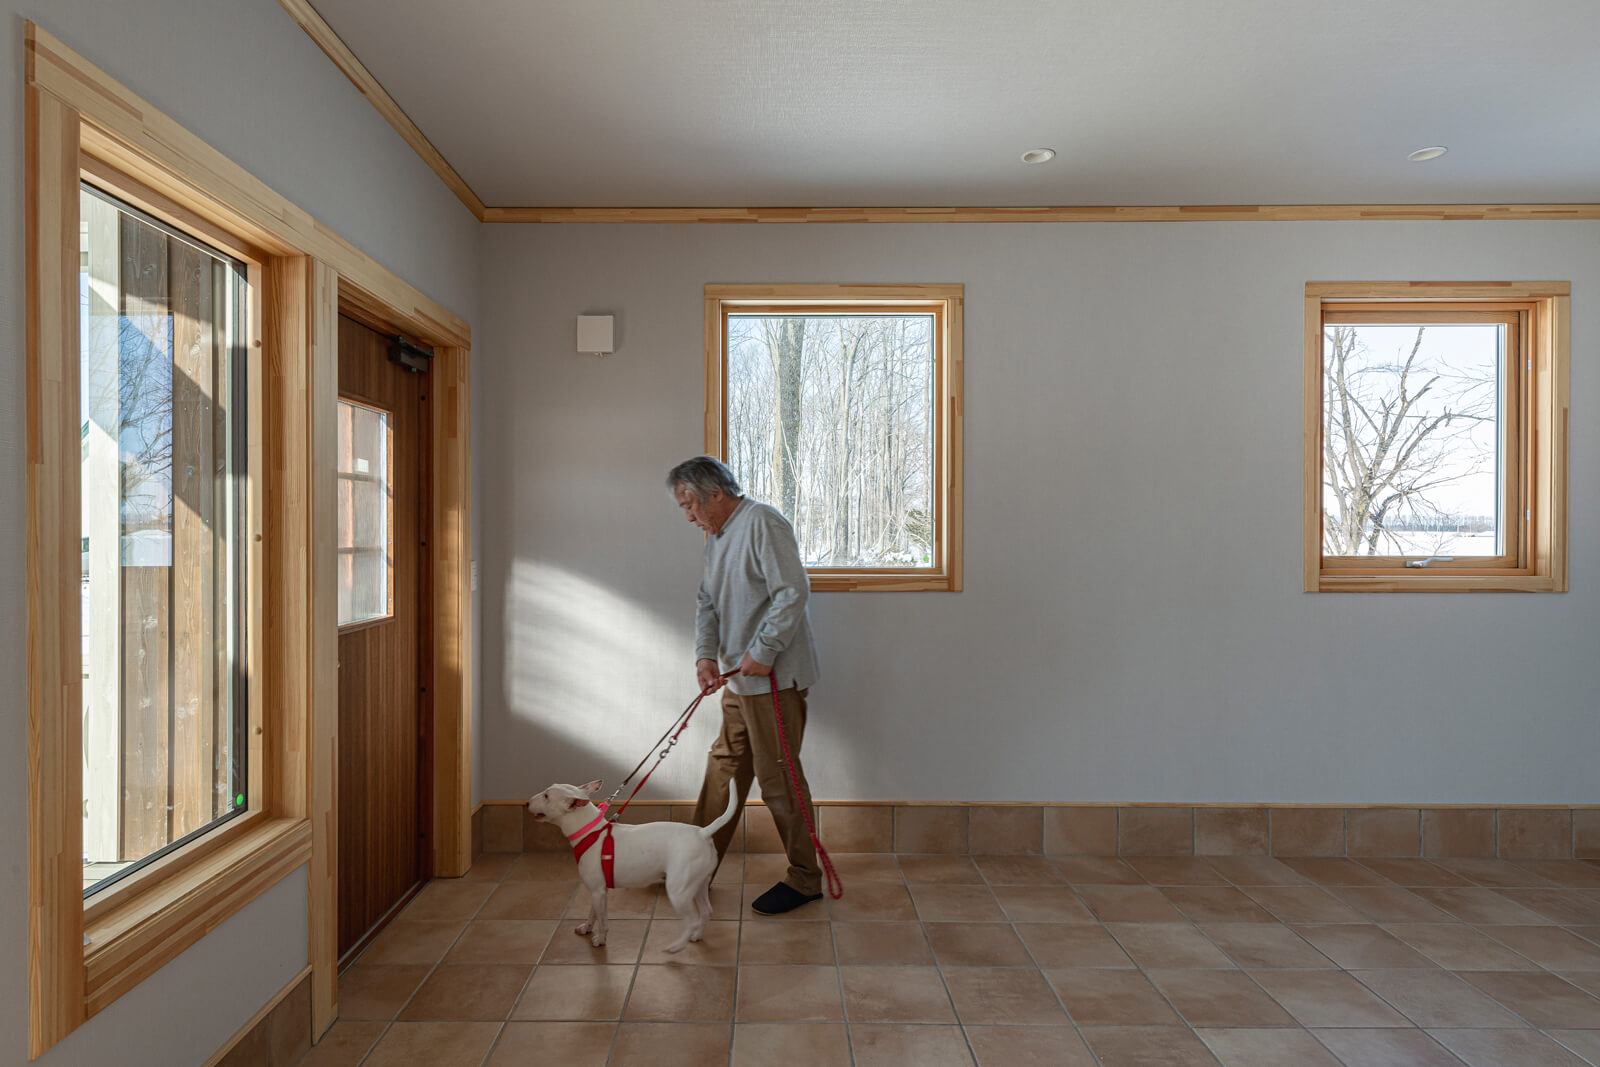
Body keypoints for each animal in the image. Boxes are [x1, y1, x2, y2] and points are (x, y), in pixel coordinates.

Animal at [531, 783, 742, 953]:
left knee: (691, 920)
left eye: (546, 796)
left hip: (679, 891)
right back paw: (697, 936)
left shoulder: (598, 891)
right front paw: (587, 928)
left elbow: (603, 920)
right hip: (699, 884)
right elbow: (594, 913)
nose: (527, 803)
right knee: (706, 911)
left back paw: (676, 947)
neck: (591, 832)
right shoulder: (597, 890)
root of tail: (703, 832)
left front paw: (600, 939)